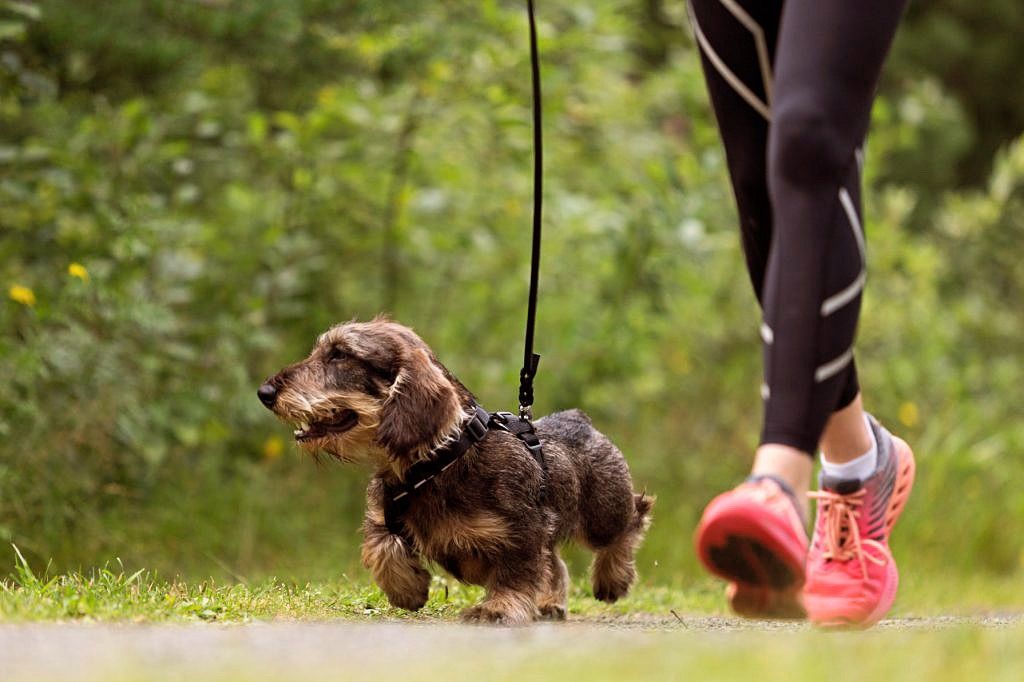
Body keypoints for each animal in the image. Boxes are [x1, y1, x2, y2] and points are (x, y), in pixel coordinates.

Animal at [260, 319, 651, 622]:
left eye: (340, 354)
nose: (265, 392)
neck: (437, 462)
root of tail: (579, 419)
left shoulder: (523, 531)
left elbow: (516, 572)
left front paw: (497, 609)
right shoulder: (381, 517)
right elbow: (382, 547)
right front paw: (408, 590)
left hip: (604, 514)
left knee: (631, 521)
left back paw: (612, 581)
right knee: (556, 563)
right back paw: (551, 603)